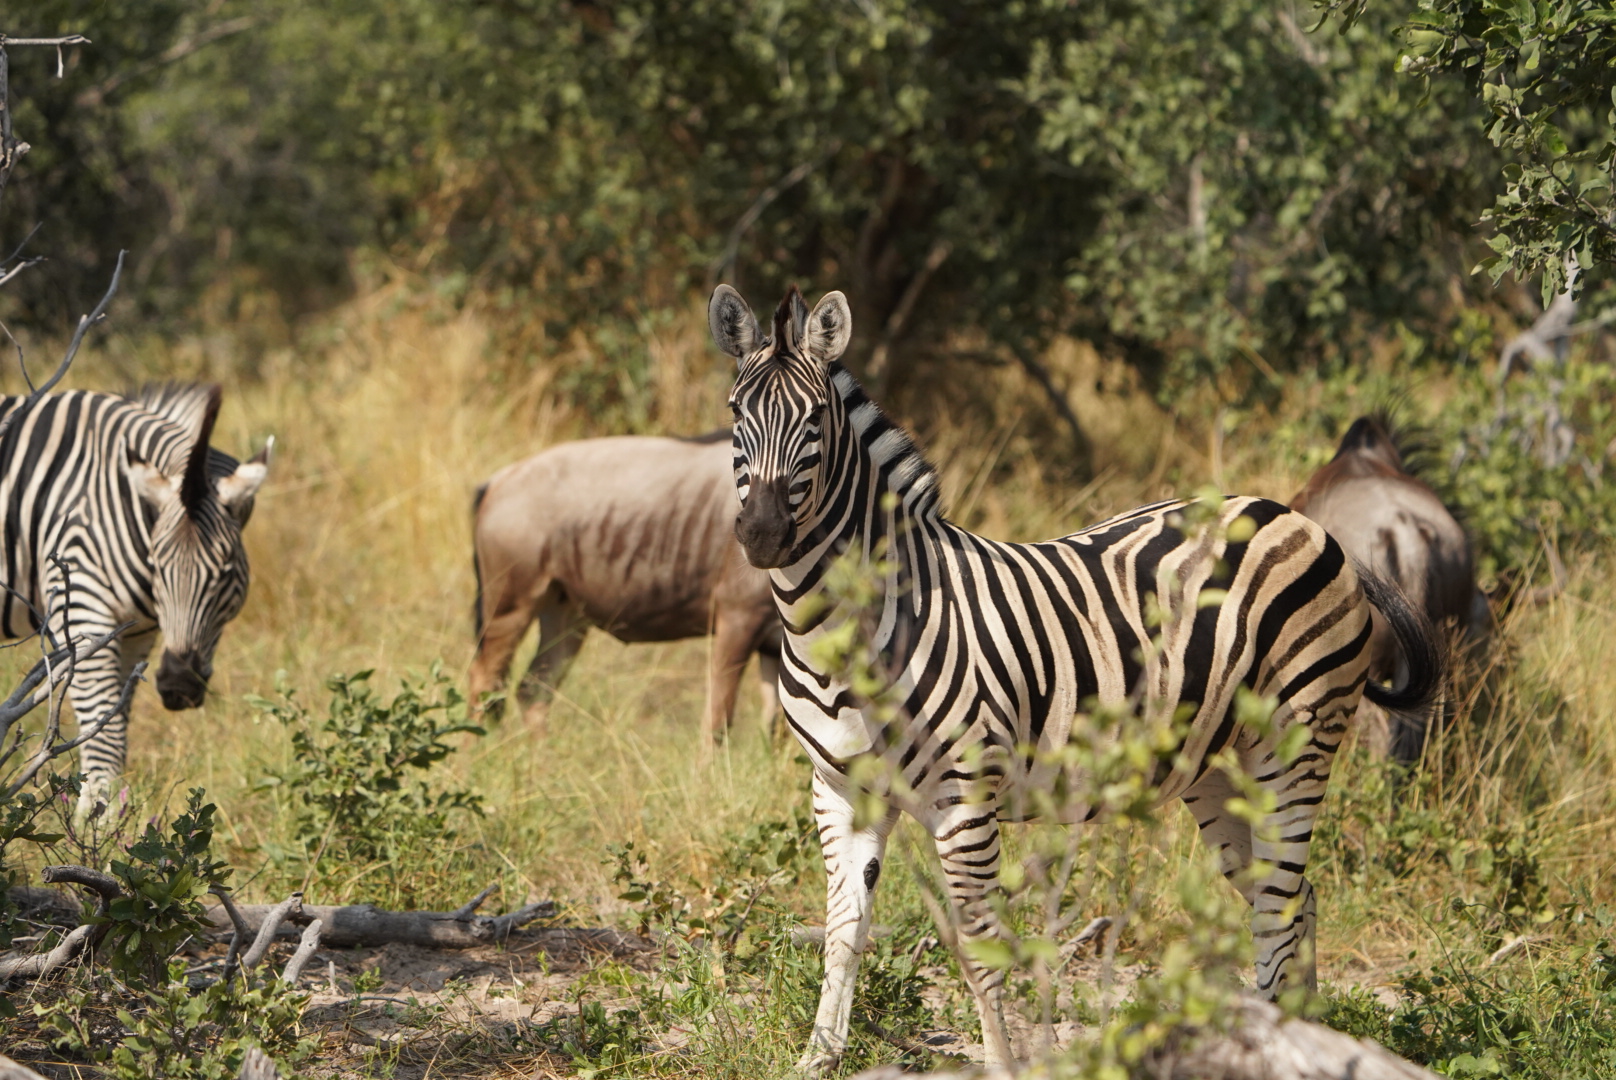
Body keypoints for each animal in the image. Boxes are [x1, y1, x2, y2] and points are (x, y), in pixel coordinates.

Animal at [0, 383, 270, 815]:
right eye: (157, 566)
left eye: (227, 571)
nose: (178, 685)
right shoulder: (81, 605)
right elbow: (103, 738)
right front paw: (96, 828)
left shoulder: (135, 633)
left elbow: (118, 725)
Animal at [707, 284, 1443, 1072]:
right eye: (734, 413)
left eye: (815, 419)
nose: (762, 535)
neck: (842, 635)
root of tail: (1298, 519)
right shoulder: (841, 791)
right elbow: (845, 934)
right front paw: (817, 1060)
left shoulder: (965, 798)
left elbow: (980, 952)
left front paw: (1002, 1064)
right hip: (1218, 769)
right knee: (1296, 902)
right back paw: (1303, 1038)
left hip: (1295, 742)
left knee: (1278, 909)